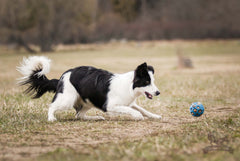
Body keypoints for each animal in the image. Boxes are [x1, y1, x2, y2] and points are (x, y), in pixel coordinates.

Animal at [17, 56, 161, 121]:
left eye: (153, 81)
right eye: (147, 82)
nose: (158, 92)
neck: (129, 85)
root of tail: (62, 77)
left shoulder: (129, 102)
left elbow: (142, 109)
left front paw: (154, 115)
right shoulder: (109, 105)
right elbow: (132, 110)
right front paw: (137, 116)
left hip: (88, 101)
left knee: (79, 115)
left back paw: (95, 118)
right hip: (68, 99)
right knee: (52, 106)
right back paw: (51, 118)